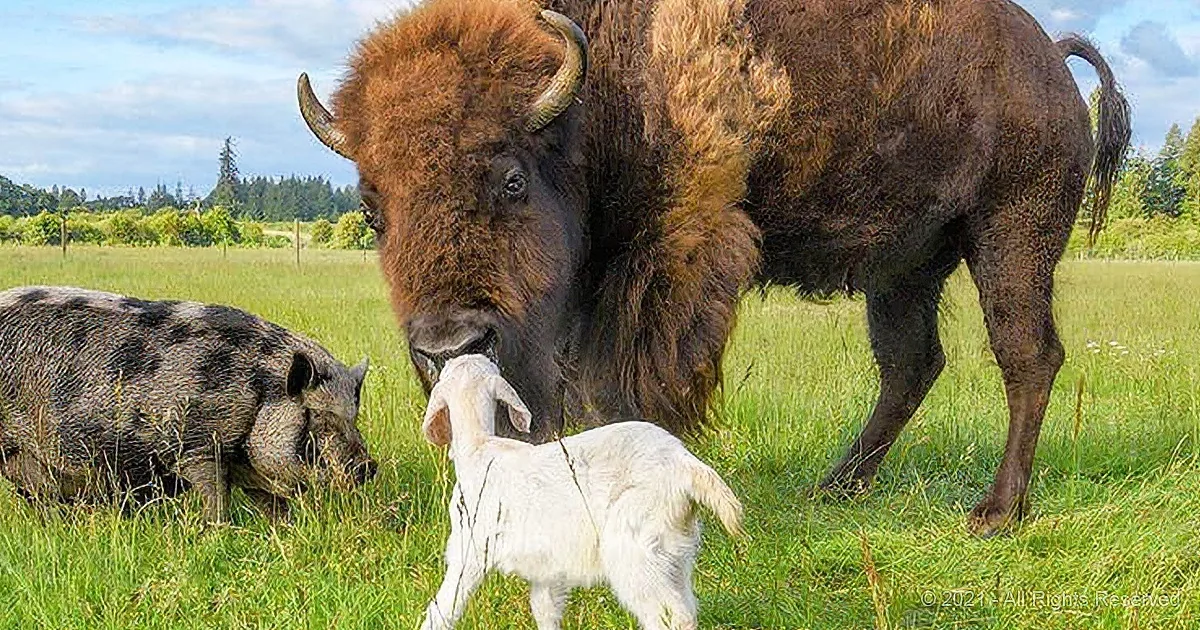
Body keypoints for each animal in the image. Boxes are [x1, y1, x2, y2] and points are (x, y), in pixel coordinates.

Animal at [0, 286, 376, 522]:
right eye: (317, 416)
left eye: (353, 416)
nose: (368, 467)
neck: (257, 390)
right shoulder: (196, 446)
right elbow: (216, 498)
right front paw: (217, 533)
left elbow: (273, 505)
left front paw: (284, 529)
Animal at [298, 0, 1130, 536]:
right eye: (373, 209)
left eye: (511, 179)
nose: (448, 348)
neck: (604, 79)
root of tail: (1050, 58)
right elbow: (572, 382)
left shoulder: (670, 255)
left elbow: (617, 384)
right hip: (905, 268)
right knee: (911, 364)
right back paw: (836, 487)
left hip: (1012, 235)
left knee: (1027, 356)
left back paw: (996, 513)